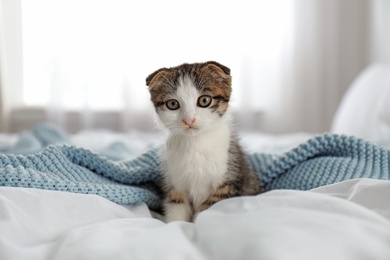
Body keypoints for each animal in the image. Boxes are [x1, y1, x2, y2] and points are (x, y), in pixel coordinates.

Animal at [146, 60, 262, 221]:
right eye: (173, 104)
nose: (189, 120)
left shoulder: (226, 181)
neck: (195, 143)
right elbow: (176, 207)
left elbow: (209, 209)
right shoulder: (175, 182)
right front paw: (174, 225)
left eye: (204, 100)